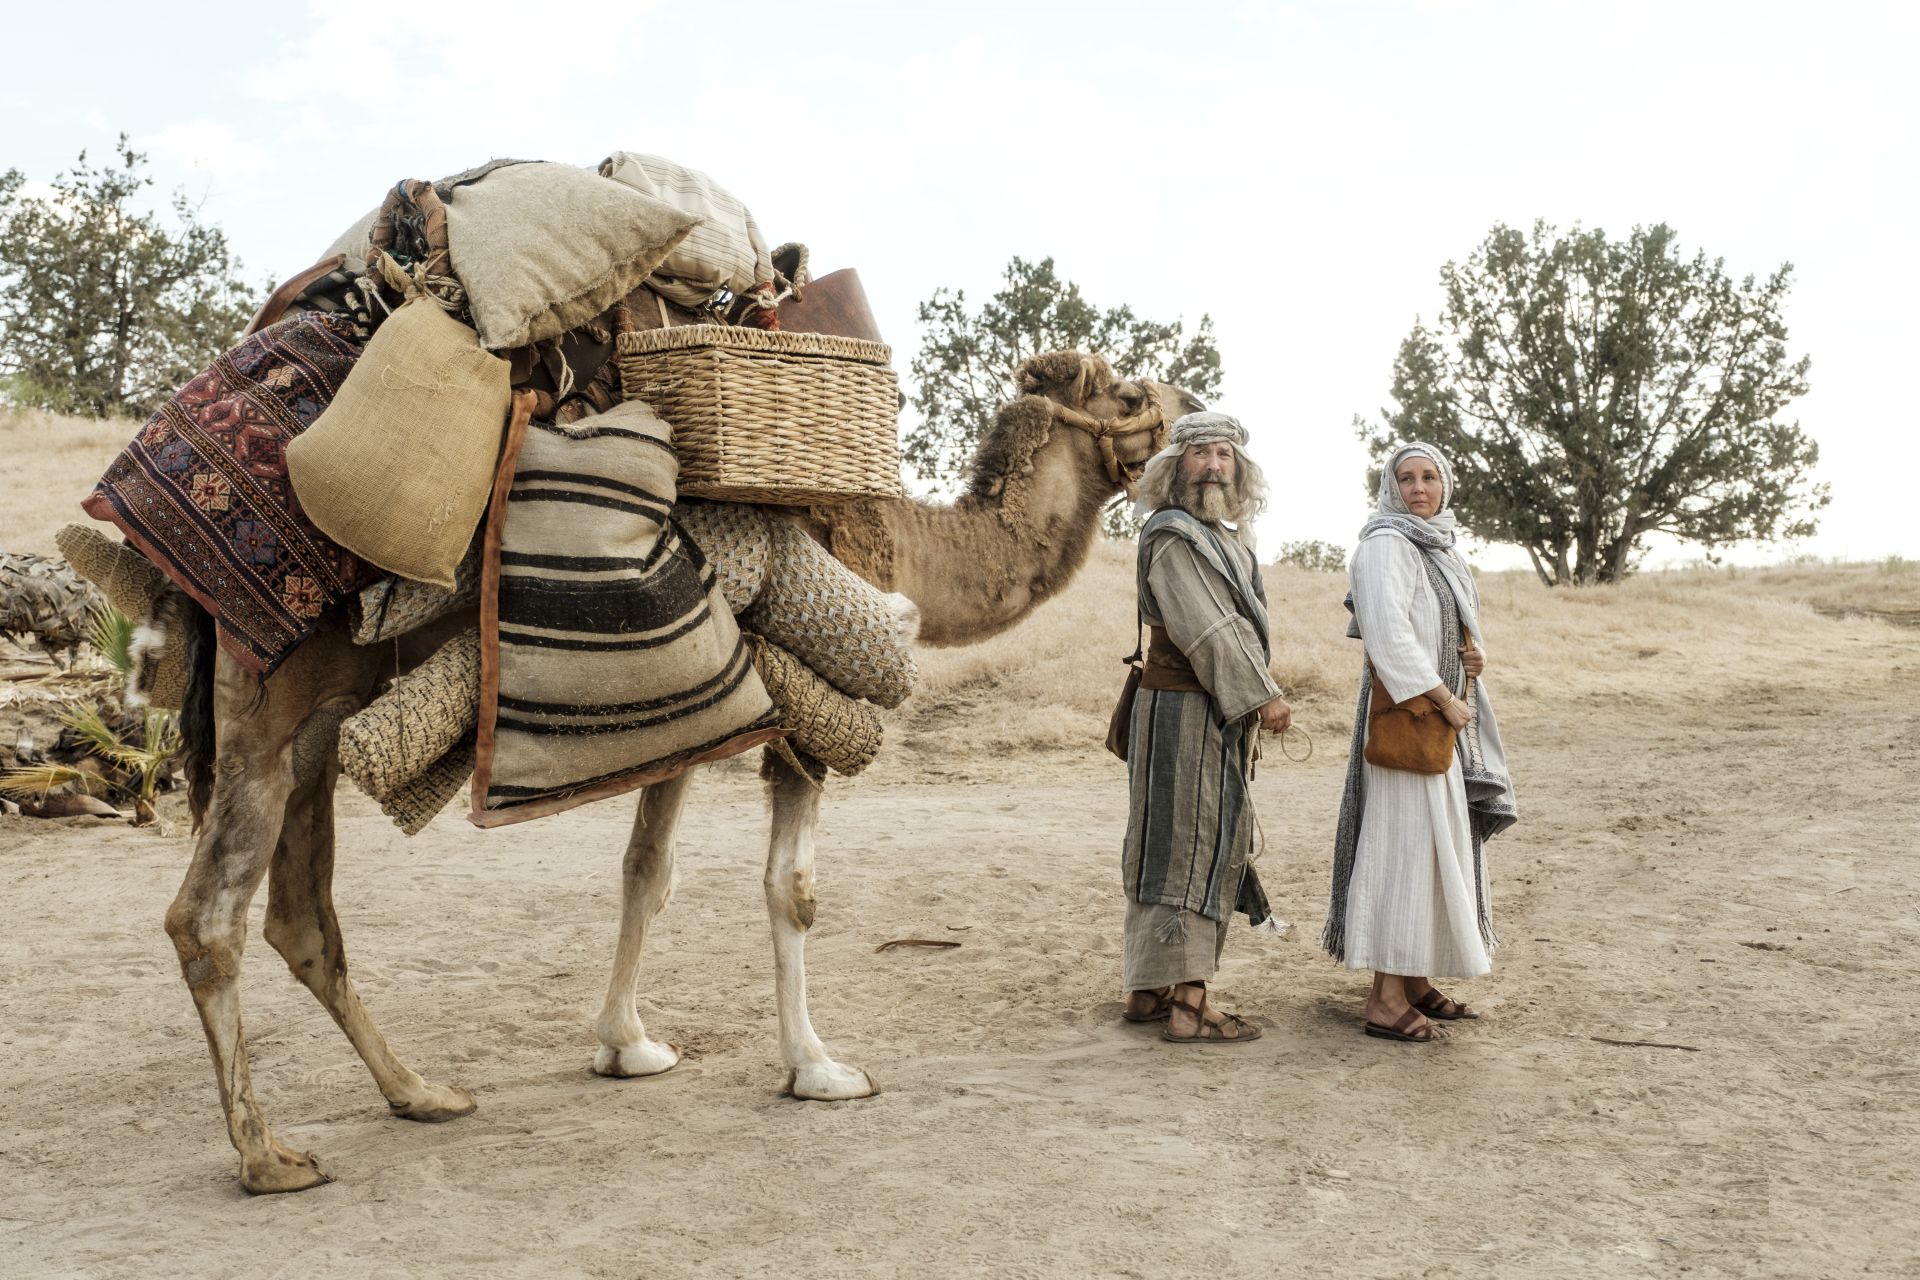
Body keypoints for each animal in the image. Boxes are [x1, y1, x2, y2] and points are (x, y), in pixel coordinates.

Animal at [161, 347, 1198, 1189]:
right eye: (1130, 391)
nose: (1195, 415)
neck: (910, 549)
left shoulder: (694, 717)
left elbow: (645, 872)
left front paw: (626, 1046)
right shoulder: (802, 719)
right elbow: (792, 891)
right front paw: (819, 1068)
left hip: (313, 736)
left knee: (301, 919)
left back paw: (420, 1093)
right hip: (269, 711)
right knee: (205, 919)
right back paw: (268, 1156)